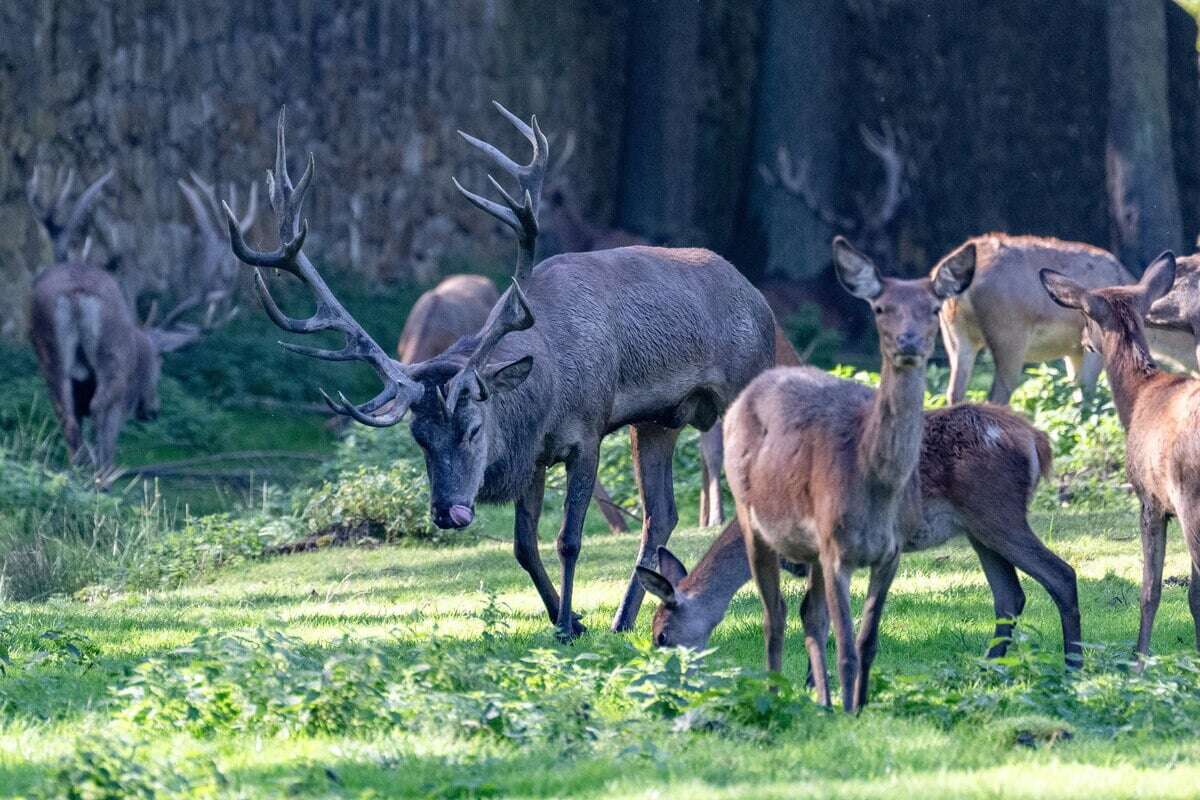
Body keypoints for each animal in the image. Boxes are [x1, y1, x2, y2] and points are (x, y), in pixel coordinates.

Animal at [28, 163, 258, 474]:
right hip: (112, 360)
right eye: (160, 361)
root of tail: (76, 293)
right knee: (101, 412)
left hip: (49, 354)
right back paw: (102, 475)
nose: (153, 408)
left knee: (66, 415)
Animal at [223, 106, 777, 642]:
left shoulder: (587, 432)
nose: (449, 512)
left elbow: (568, 540)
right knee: (660, 515)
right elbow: (522, 546)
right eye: (419, 438)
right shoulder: (533, 454)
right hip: (657, 421)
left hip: (743, 385)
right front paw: (573, 621)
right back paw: (623, 620)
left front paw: (564, 626)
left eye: (472, 429)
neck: (548, 390)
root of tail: (757, 297)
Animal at [724, 237, 979, 714]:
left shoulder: (891, 552)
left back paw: (821, 700)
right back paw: (776, 695)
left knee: (810, 618)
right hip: (752, 516)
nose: (908, 341)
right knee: (774, 615)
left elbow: (867, 640)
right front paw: (847, 711)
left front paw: (857, 707)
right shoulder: (835, 547)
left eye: (934, 307)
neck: (876, 486)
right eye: (880, 307)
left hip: (809, 549)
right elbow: (845, 643)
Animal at [940, 232, 1195, 407]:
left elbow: (1076, 392)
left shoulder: (1072, 350)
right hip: (1008, 336)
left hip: (956, 338)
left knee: (954, 392)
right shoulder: (1092, 349)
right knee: (997, 394)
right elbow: (1088, 393)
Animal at [1041, 253, 1200, 662]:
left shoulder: (1151, 498)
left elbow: (1150, 591)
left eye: (1085, 315)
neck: (1139, 396)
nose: (1084, 342)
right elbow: (1189, 595)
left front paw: (1138, 661)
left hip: (1191, 497)